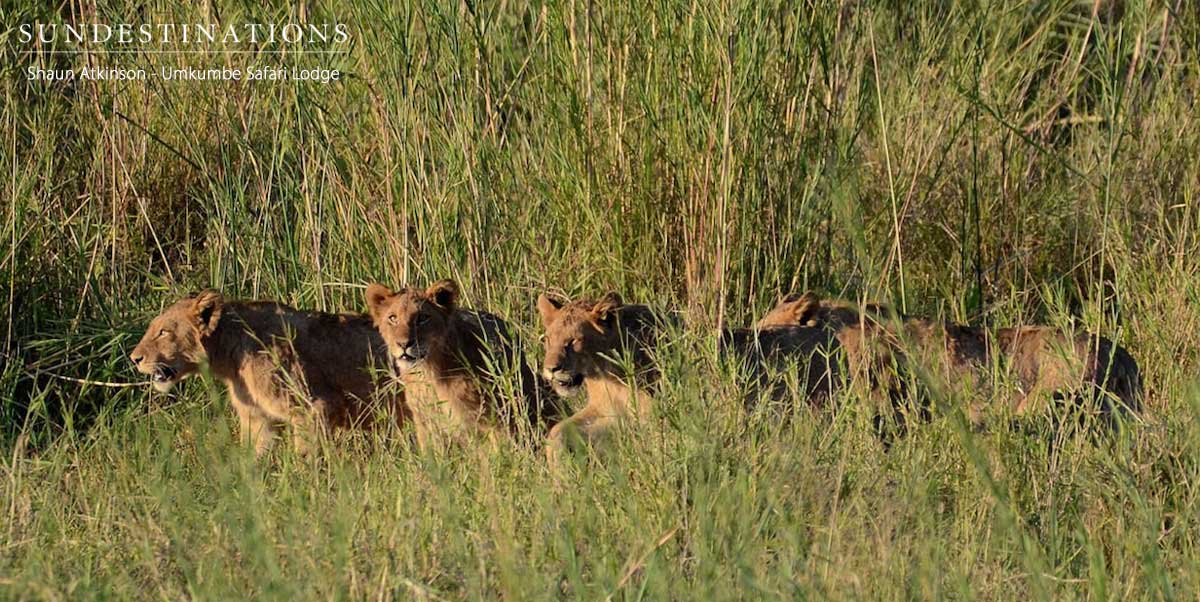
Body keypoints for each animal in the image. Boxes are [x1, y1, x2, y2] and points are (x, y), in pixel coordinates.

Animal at [129, 289, 407, 457]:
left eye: (163, 332)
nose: (134, 359)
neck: (230, 357)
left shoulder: (314, 406)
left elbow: (306, 456)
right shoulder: (258, 418)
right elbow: (255, 456)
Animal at [366, 279, 560, 451]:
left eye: (422, 318)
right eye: (392, 318)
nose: (403, 344)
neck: (429, 373)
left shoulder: (491, 420)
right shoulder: (427, 425)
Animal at [536, 292, 669, 466]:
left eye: (573, 341)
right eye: (549, 339)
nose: (550, 369)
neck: (609, 376)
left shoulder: (653, 408)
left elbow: (657, 440)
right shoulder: (606, 411)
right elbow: (557, 430)